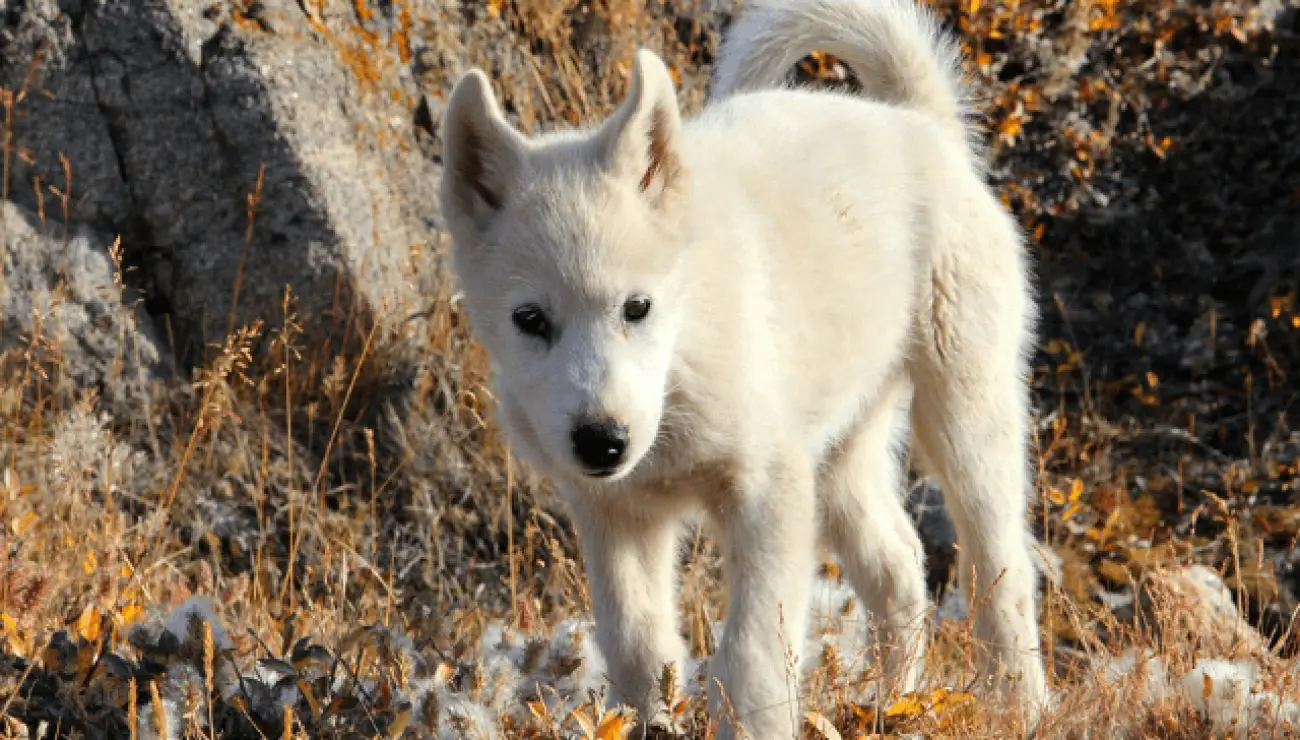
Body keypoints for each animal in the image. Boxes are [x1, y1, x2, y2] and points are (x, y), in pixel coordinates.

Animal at [441, 0, 1050, 733]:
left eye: (637, 306)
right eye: (530, 320)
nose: (603, 441)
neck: (678, 370)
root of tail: (918, 119)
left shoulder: (767, 488)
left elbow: (752, 652)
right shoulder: (614, 511)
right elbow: (639, 645)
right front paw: (649, 724)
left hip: (965, 407)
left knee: (1000, 567)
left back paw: (1020, 706)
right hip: (840, 447)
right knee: (898, 566)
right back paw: (891, 704)